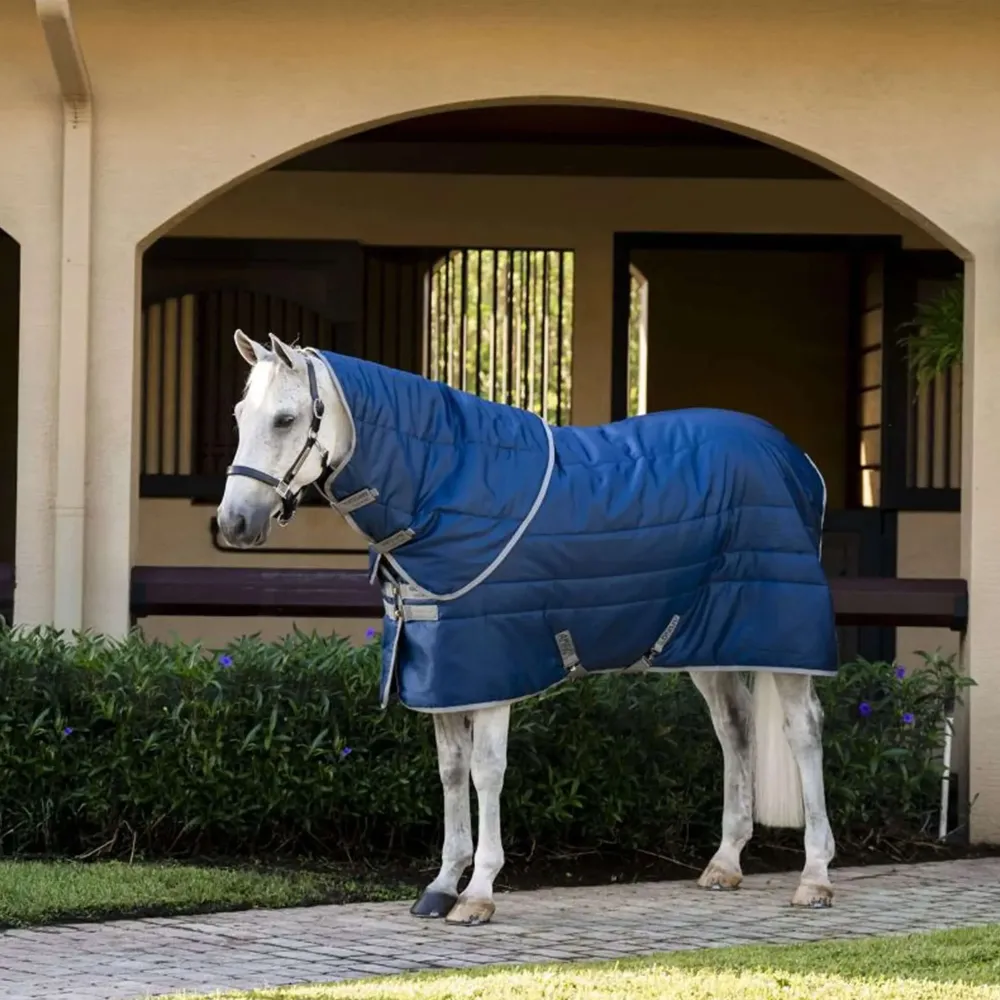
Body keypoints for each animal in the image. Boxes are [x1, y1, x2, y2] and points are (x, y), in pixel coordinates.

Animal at [217, 329, 837, 926]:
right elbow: (451, 771)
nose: (234, 522)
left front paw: (478, 894)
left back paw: (815, 878)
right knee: (735, 729)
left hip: (782, 640)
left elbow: (486, 772)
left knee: (803, 732)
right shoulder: (442, 670)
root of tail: (799, 460)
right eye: (240, 414)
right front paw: (442, 885)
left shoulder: (490, 669)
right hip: (708, 641)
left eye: (285, 419)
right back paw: (725, 863)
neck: (441, 487)